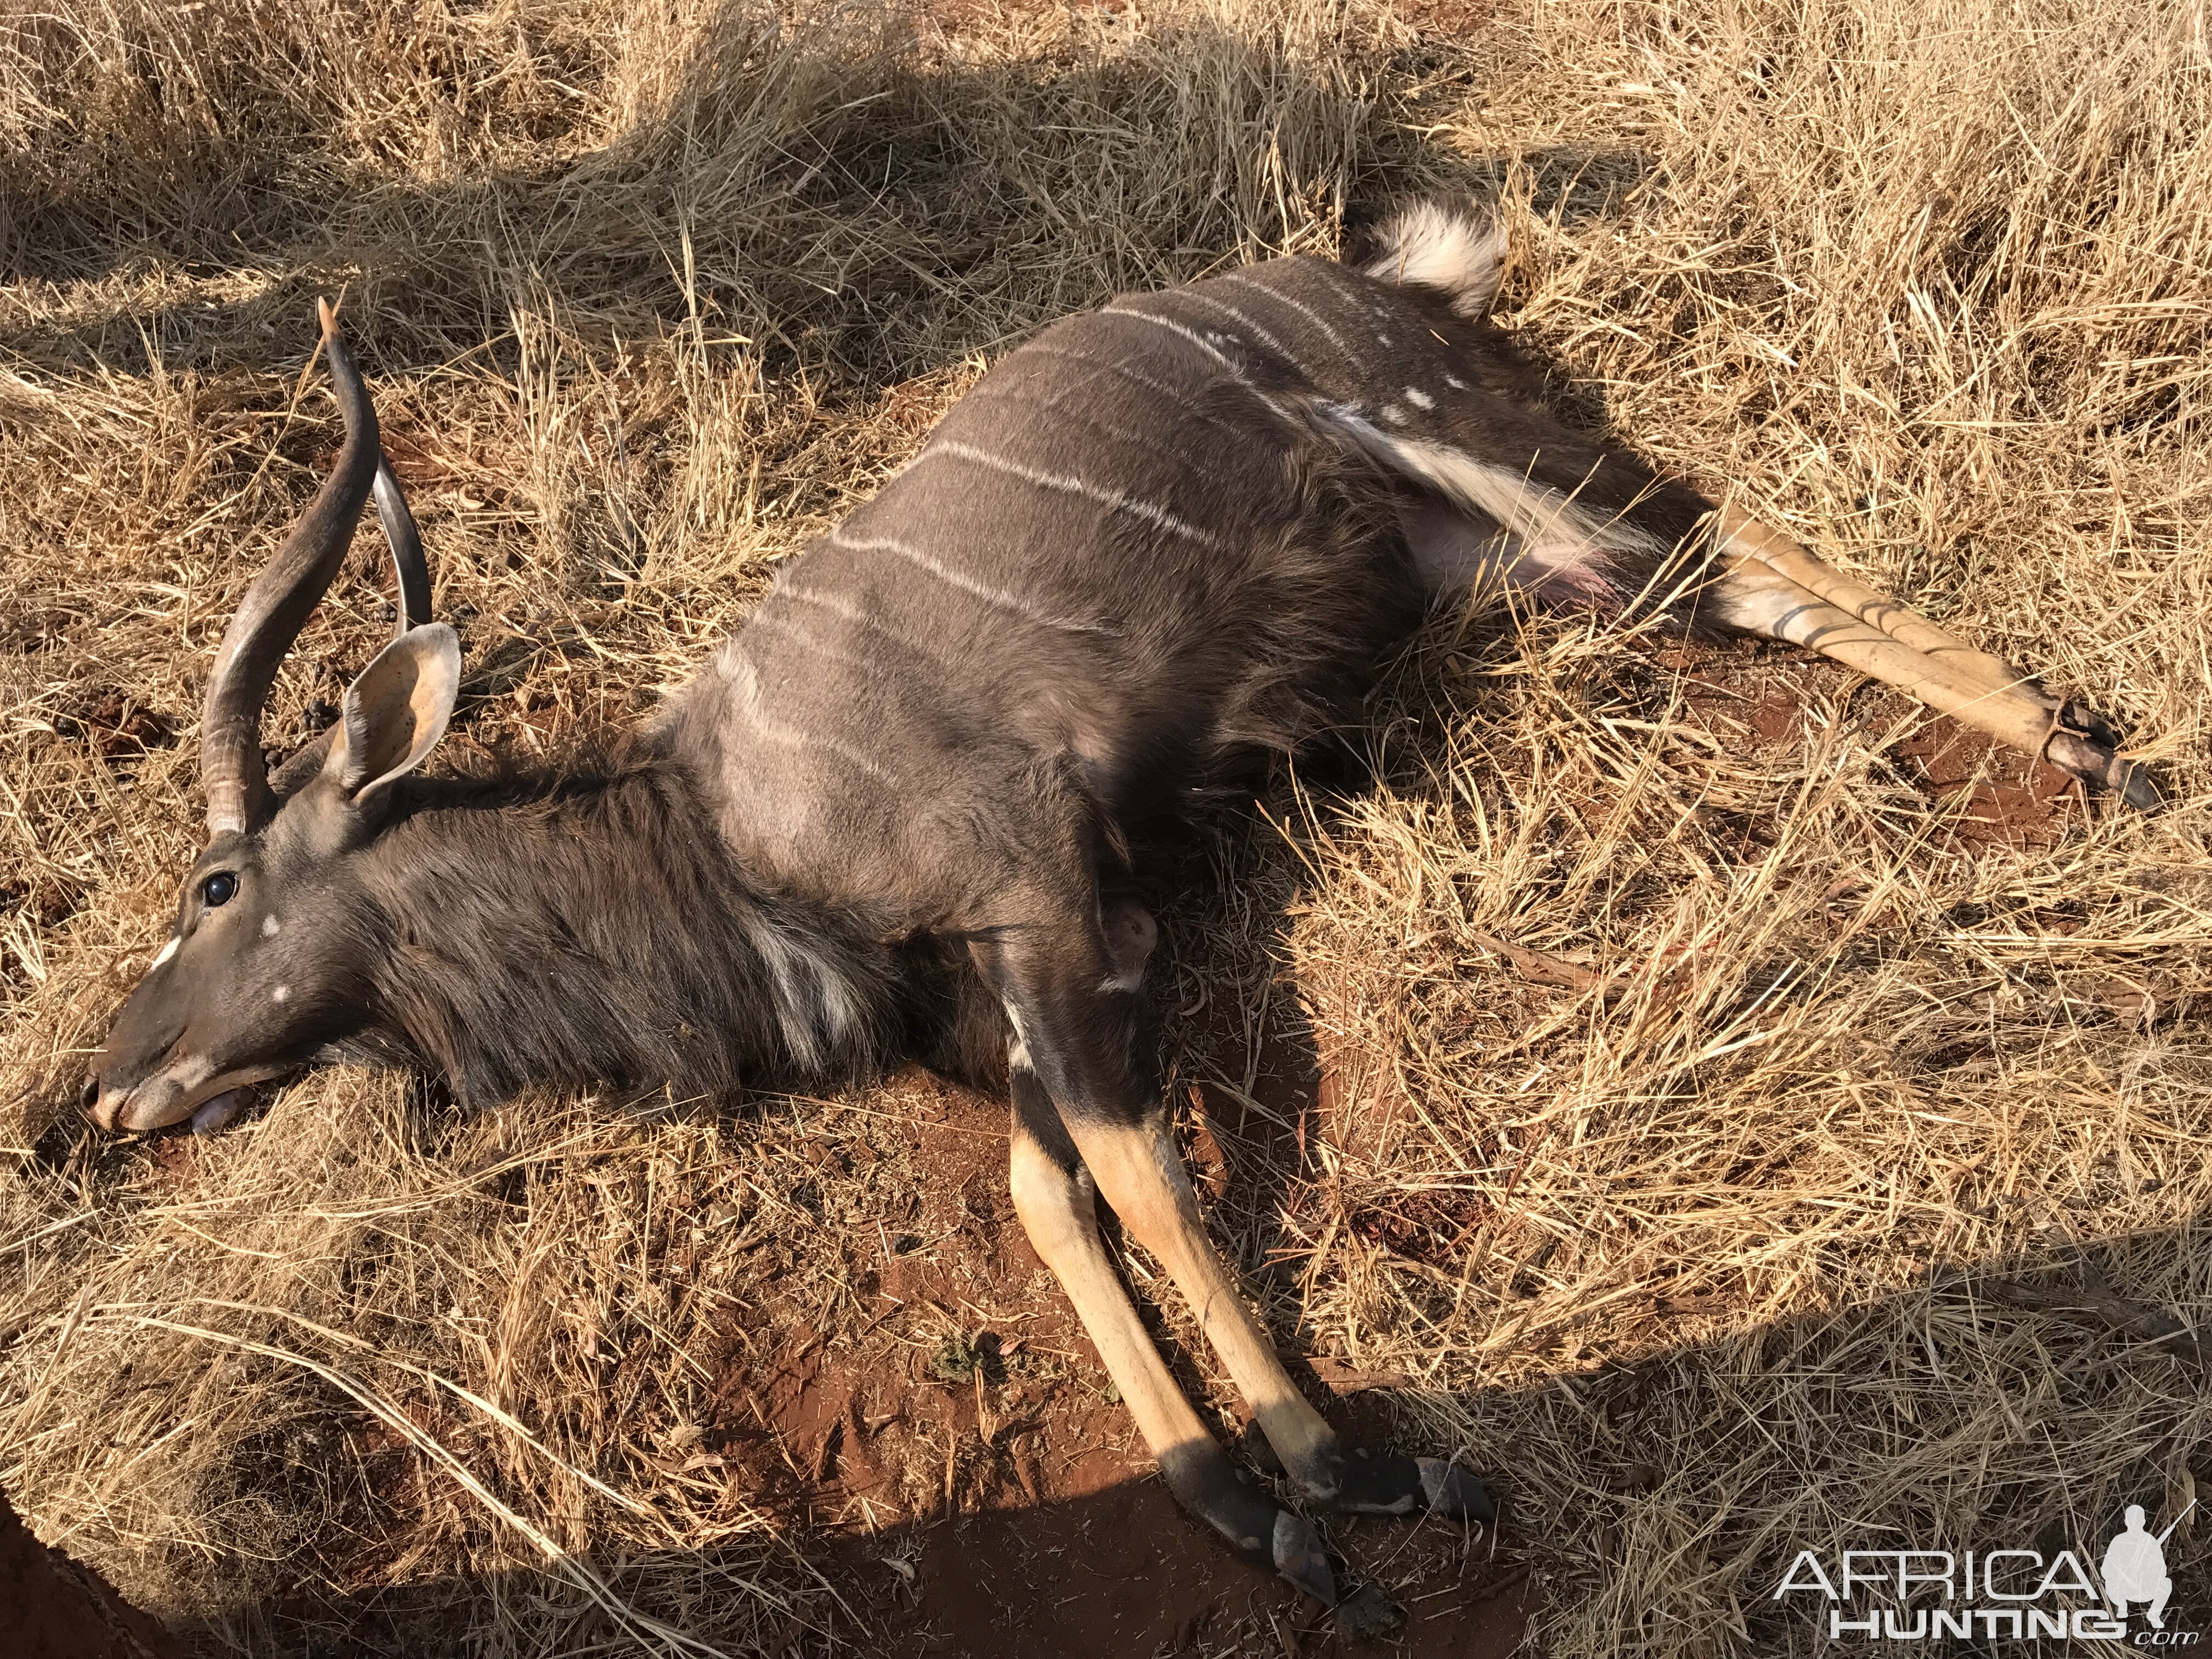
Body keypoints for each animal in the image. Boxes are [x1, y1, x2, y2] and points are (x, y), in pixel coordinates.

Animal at [91, 194, 2159, 1628]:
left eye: (213, 882)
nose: (106, 1092)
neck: (725, 834)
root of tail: (1395, 281)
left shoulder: (1059, 901)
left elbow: (1135, 1165)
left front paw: (1349, 1470)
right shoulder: (1003, 988)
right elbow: (1043, 1186)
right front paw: (1234, 1495)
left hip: (1467, 451)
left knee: (1727, 539)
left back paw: (2088, 741)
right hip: (1474, 555)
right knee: (1705, 571)